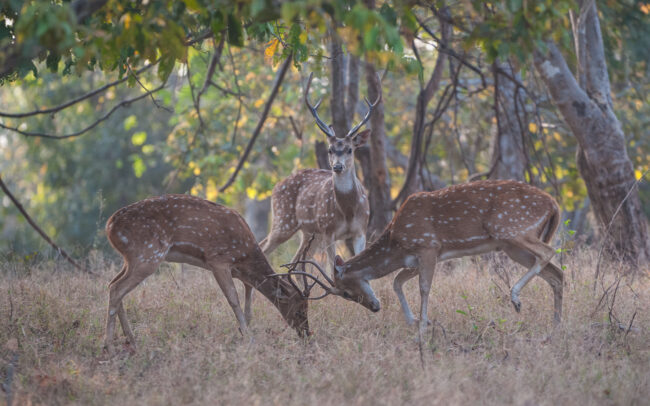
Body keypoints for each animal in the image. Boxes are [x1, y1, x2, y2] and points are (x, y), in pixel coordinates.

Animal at [103, 194, 315, 356]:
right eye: (299, 310)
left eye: (308, 308)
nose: (307, 334)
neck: (245, 256)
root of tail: (110, 226)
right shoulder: (218, 260)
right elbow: (233, 299)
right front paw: (248, 337)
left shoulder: (241, 274)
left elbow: (249, 300)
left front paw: (245, 329)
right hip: (147, 255)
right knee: (116, 288)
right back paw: (109, 347)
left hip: (131, 258)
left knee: (112, 284)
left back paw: (131, 342)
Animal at [258, 72, 381, 285]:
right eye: (330, 149)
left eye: (350, 149)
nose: (337, 166)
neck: (348, 211)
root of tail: (276, 186)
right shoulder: (329, 230)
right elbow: (333, 269)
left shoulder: (361, 230)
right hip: (285, 219)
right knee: (264, 247)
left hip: (309, 232)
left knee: (295, 262)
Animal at [293, 180, 564, 340]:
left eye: (346, 292)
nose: (374, 307)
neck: (396, 241)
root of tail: (554, 205)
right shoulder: (413, 259)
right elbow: (397, 282)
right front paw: (415, 321)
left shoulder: (428, 246)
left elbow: (424, 288)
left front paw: (422, 329)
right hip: (512, 246)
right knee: (556, 273)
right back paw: (555, 327)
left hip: (511, 229)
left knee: (548, 252)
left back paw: (516, 299)